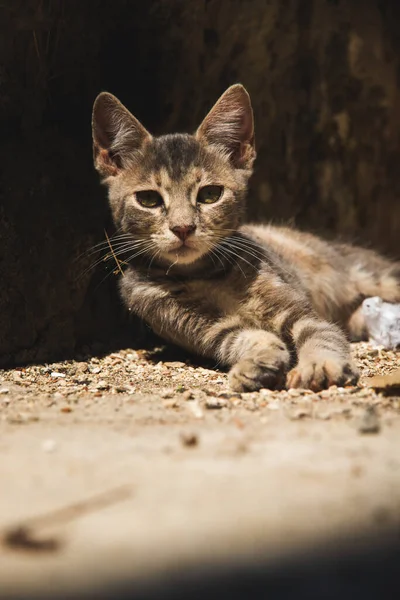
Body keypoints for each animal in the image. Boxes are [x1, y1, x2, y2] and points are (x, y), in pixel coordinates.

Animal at [91, 85, 400, 394]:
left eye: (210, 194)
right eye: (148, 199)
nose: (183, 227)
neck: (204, 275)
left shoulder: (299, 310)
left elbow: (321, 334)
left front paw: (319, 365)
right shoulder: (193, 324)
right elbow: (241, 337)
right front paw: (259, 361)